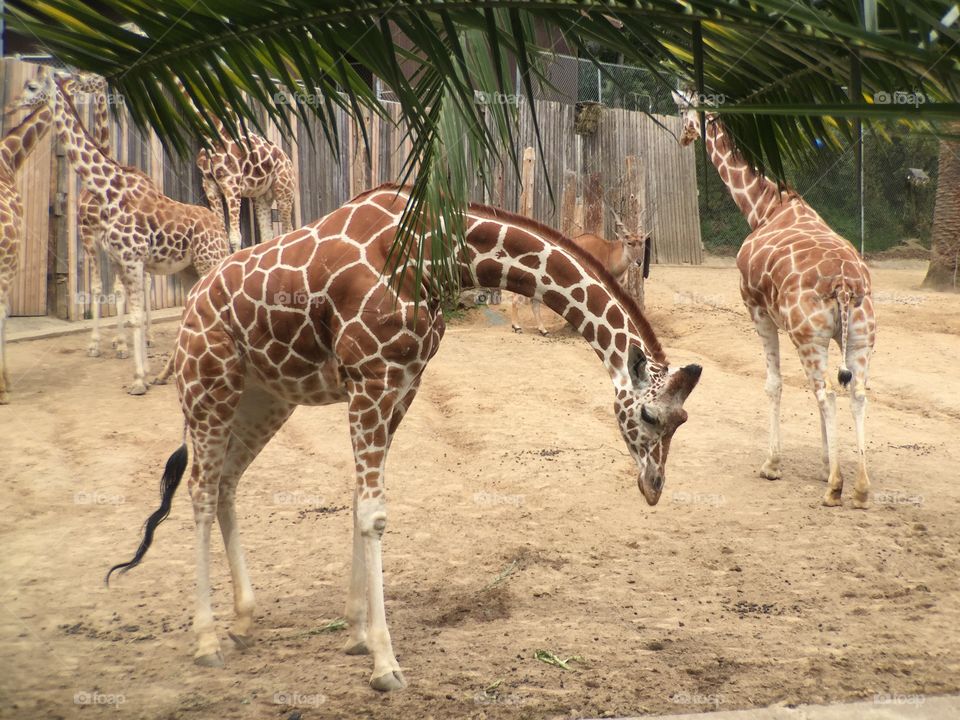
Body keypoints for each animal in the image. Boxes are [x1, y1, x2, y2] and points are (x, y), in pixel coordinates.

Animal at [109, 183, 700, 688]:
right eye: (651, 417)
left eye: (683, 421)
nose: (654, 488)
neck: (441, 256)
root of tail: (191, 303)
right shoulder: (371, 380)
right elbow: (374, 513)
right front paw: (384, 662)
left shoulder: (405, 384)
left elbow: (358, 501)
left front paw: (355, 635)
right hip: (209, 386)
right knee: (200, 490)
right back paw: (207, 640)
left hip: (266, 395)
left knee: (227, 483)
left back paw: (243, 622)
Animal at [676, 90, 876, 506]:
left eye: (680, 108)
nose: (684, 137)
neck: (764, 208)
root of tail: (845, 284)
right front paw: (824, 463)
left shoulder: (755, 308)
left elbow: (773, 383)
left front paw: (773, 465)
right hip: (859, 336)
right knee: (855, 391)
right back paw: (861, 488)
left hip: (808, 336)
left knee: (827, 392)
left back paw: (836, 488)